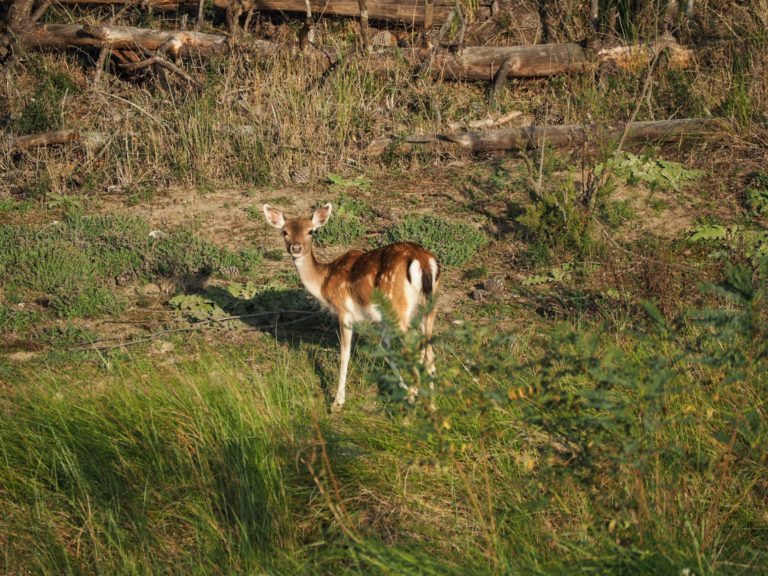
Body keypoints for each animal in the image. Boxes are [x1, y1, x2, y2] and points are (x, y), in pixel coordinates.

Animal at [264, 202, 440, 410]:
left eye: (311, 231)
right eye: (284, 231)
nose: (296, 248)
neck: (324, 282)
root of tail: (423, 261)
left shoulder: (344, 311)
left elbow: (345, 353)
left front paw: (337, 402)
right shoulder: (379, 319)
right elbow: (386, 350)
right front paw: (402, 387)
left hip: (399, 310)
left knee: (416, 350)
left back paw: (413, 399)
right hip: (428, 308)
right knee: (429, 352)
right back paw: (430, 403)